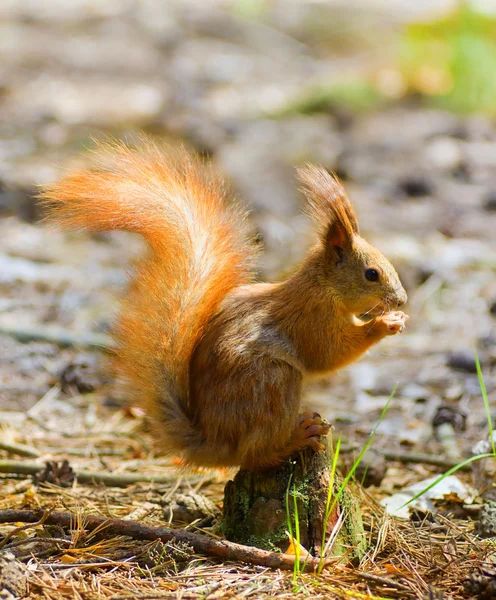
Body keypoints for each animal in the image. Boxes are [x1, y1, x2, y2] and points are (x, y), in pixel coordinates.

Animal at [41, 139, 406, 468]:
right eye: (371, 274)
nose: (401, 299)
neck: (322, 287)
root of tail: (215, 443)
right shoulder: (312, 319)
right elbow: (329, 354)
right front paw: (384, 323)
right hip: (274, 383)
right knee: (255, 454)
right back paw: (296, 437)